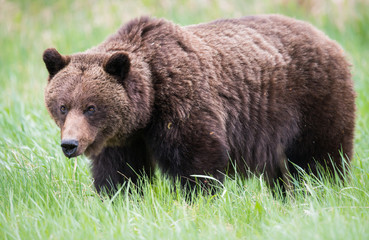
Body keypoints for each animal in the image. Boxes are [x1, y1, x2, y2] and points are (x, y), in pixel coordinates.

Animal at [41, 14, 356, 193]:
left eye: (91, 107)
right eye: (63, 106)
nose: (69, 144)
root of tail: (328, 39)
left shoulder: (182, 102)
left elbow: (198, 159)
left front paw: (197, 198)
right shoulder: (122, 139)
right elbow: (119, 173)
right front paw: (117, 197)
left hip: (311, 101)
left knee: (321, 156)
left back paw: (328, 189)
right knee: (283, 171)